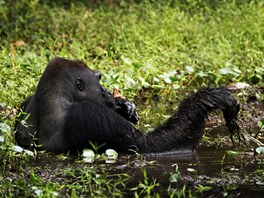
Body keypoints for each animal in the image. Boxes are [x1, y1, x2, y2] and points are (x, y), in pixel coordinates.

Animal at [15, 57, 240, 153]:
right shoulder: (89, 113)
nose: (106, 91)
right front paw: (204, 100)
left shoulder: (25, 104)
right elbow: (149, 146)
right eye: (98, 79)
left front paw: (124, 106)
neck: (56, 98)